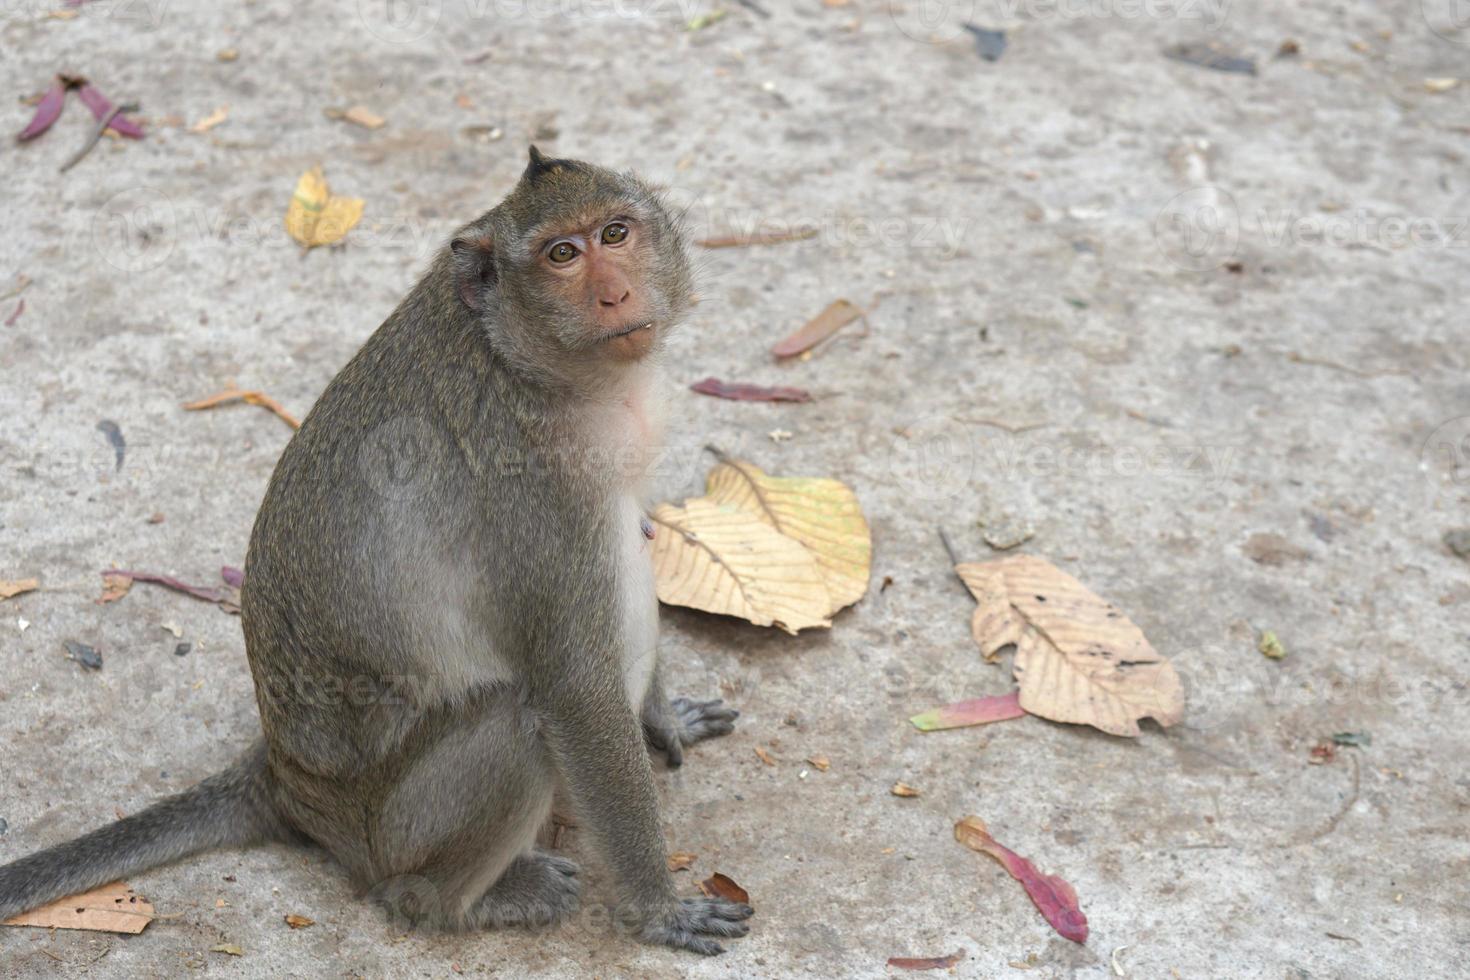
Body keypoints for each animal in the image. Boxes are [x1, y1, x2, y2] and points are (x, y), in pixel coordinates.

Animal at [0, 149, 752, 952]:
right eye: (561, 256)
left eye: (615, 233)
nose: (615, 293)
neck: (517, 355)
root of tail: (284, 778)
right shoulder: (534, 487)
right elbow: (576, 685)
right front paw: (661, 911)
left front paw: (663, 719)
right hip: (396, 827)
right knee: (511, 729)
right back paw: (456, 899)